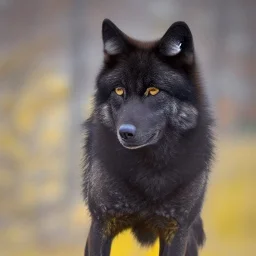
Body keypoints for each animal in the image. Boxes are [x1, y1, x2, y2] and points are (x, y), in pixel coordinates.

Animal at [83, 18, 214, 256]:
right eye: (119, 90)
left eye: (153, 91)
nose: (125, 132)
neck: (150, 169)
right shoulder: (101, 224)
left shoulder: (177, 230)